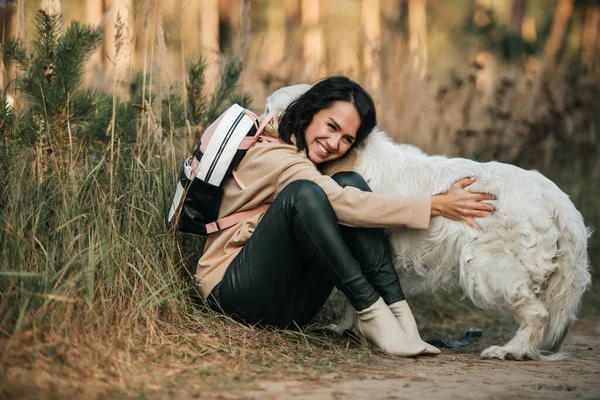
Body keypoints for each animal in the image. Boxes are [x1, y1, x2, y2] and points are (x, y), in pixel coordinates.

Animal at [262, 83, 592, 360]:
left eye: (269, 109)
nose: (260, 120)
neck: (351, 157)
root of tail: (560, 201)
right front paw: (347, 328)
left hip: (486, 267)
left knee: (537, 314)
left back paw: (510, 350)